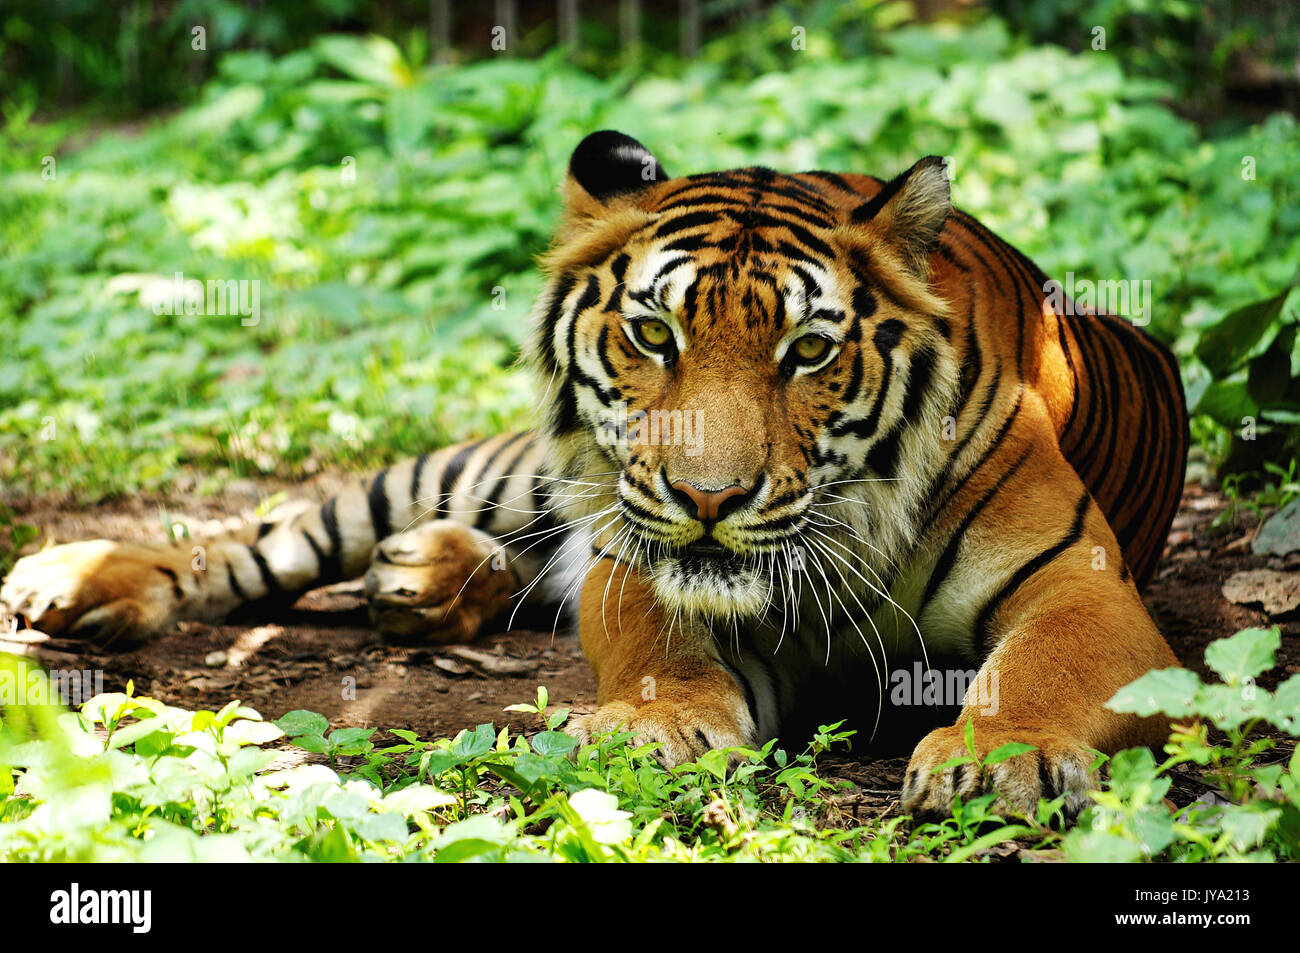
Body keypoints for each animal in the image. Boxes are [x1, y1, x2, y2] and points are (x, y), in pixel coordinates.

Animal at [0, 130, 1190, 816]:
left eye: (808, 350)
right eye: (655, 332)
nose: (711, 499)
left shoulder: (1082, 584)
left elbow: (1040, 667)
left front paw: (1000, 758)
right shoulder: (634, 548)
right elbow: (653, 642)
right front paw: (653, 729)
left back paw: (422, 579)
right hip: (491, 472)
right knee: (268, 533)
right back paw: (79, 580)